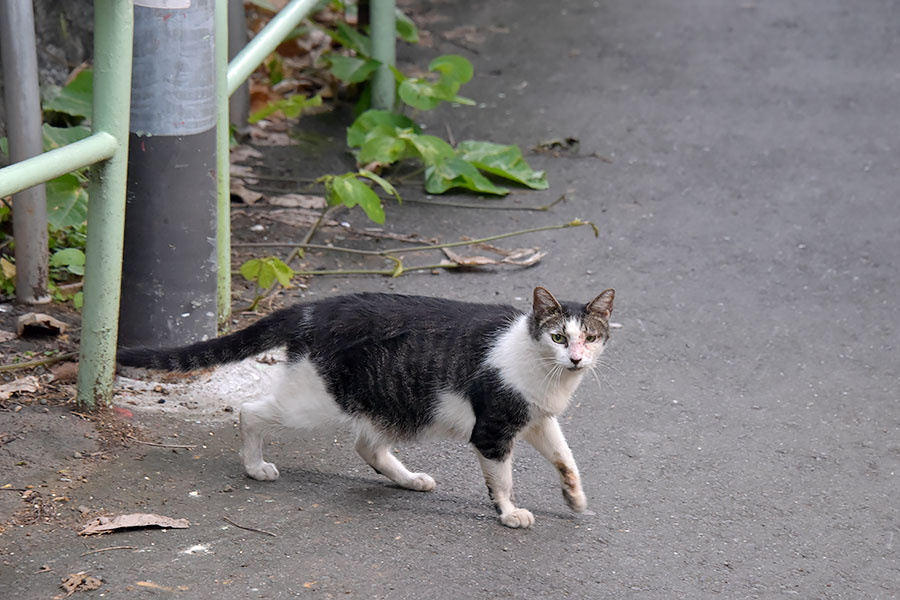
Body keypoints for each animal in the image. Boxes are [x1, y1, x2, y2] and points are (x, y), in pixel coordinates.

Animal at [116, 288, 616, 528]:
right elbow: (503, 480)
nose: (576, 358)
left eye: (590, 337)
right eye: (558, 336)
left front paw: (574, 497)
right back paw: (255, 466)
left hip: (395, 402)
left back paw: (409, 479)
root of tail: (314, 308)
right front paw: (509, 513)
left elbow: (565, 457)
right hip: (314, 401)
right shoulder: (493, 431)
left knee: (366, 445)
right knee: (251, 410)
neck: (546, 373)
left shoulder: (537, 419)